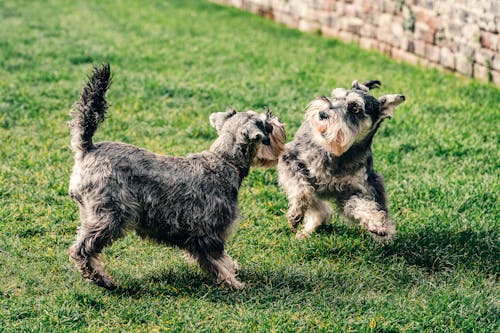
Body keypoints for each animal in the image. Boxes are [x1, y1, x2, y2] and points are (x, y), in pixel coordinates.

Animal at [68, 64, 286, 288]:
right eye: (265, 123)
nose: (274, 117)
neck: (225, 161)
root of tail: (88, 148)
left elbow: (220, 259)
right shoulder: (210, 233)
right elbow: (217, 260)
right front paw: (233, 283)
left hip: (91, 214)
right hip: (111, 216)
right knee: (82, 250)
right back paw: (102, 279)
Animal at [278, 79, 406, 240]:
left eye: (355, 108)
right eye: (335, 97)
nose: (322, 113)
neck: (339, 154)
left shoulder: (356, 190)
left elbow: (362, 205)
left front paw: (377, 224)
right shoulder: (290, 160)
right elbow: (302, 188)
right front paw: (295, 213)